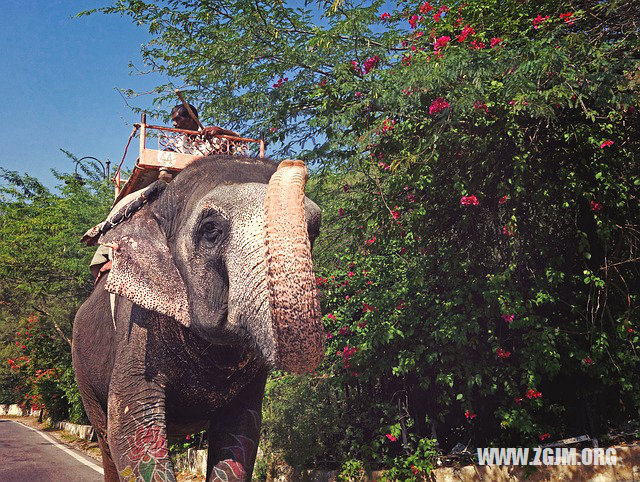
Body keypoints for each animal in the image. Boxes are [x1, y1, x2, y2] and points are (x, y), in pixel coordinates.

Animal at [71, 156, 324, 480]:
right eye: (210, 229)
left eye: (313, 229)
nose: (294, 163)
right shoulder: (137, 329)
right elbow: (131, 426)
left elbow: (241, 433)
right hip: (83, 371)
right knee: (104, 436)